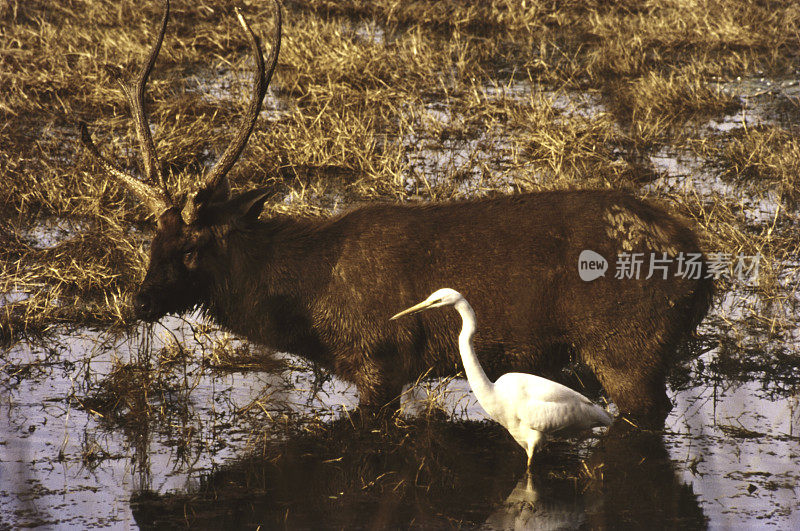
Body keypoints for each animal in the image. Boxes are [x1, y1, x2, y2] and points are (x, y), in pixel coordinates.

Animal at [79, 0, 712, 424]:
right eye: (151, 239)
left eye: (191, 246)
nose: (139, 302)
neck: (310, 310)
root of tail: (702, 268)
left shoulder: (380, 362)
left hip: (627, 350)